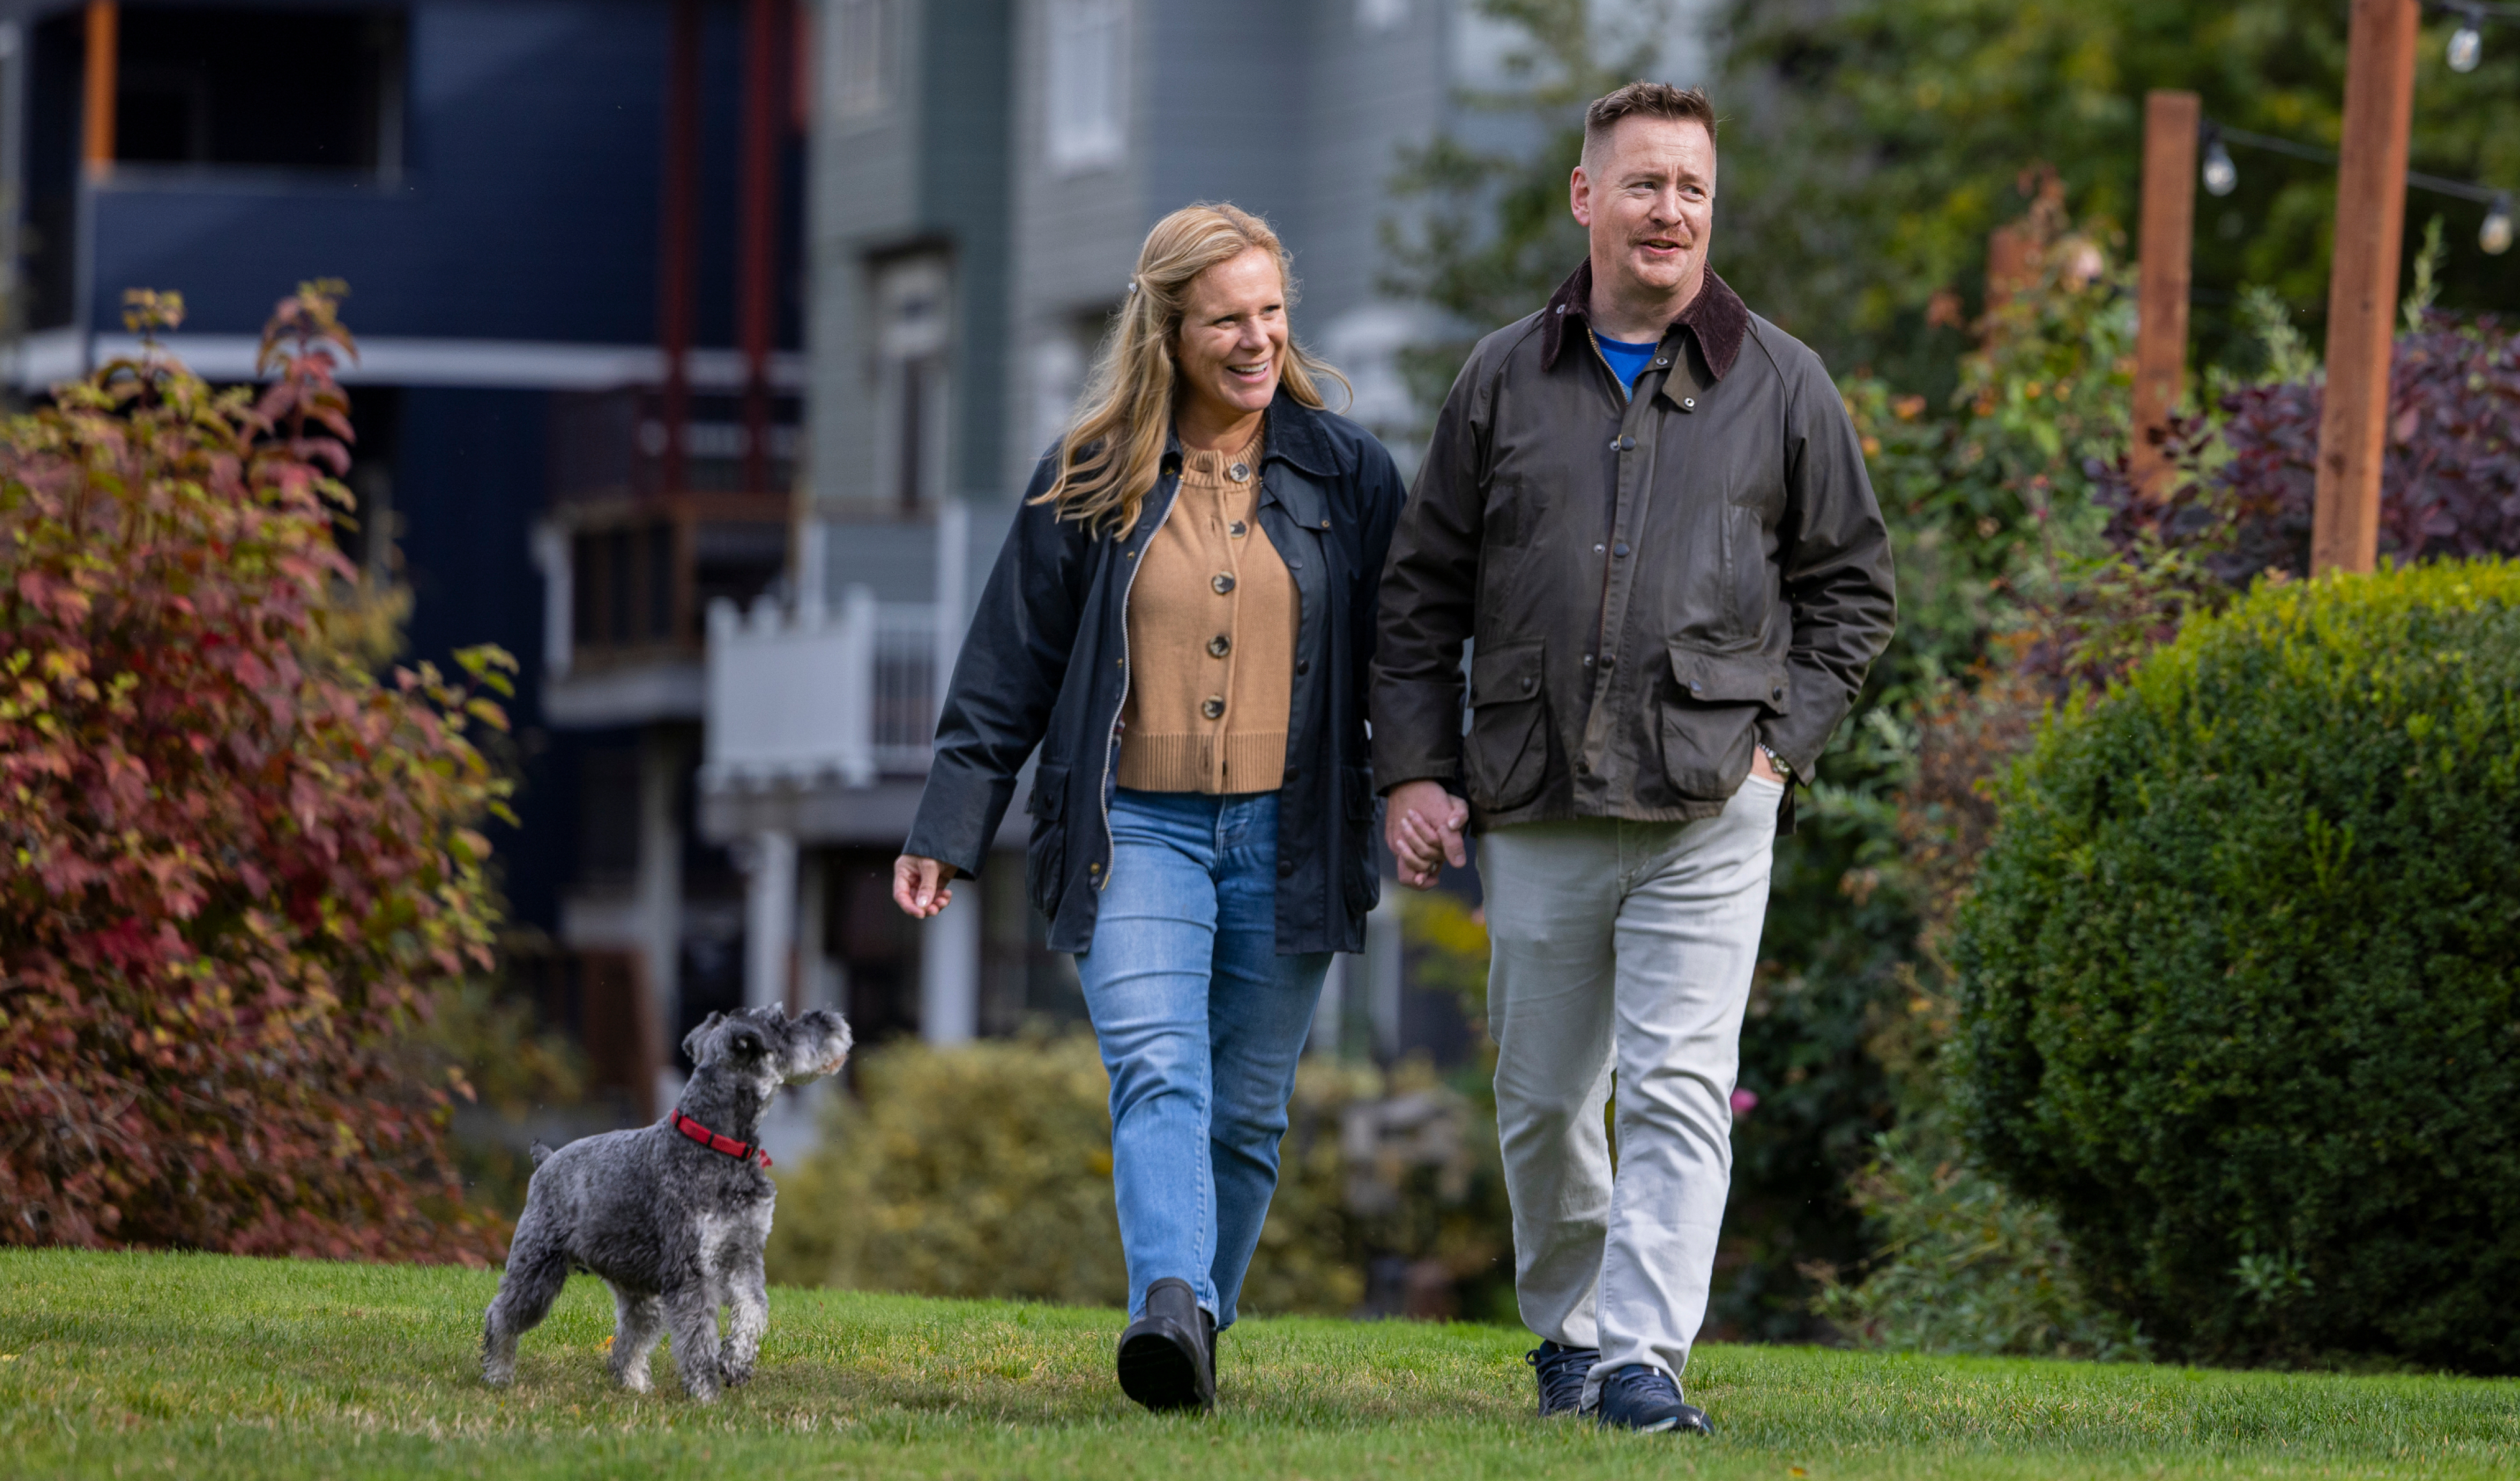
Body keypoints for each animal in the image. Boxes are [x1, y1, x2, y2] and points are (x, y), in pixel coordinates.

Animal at [476, 1007, 852, 1400]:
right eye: (781, 1022)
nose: (832, 1019)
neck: (717, 1143)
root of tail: (545, 1161)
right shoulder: (692, 1272)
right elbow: (698, 1337)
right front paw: (705, 1395)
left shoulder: (744, 1256)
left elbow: (753, 1309)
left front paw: (737, 1362)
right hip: (537, 1272)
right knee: (501, 1317)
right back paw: (498, 1374)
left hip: (639, 1292)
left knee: (629, 1339)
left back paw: (635, 1385)